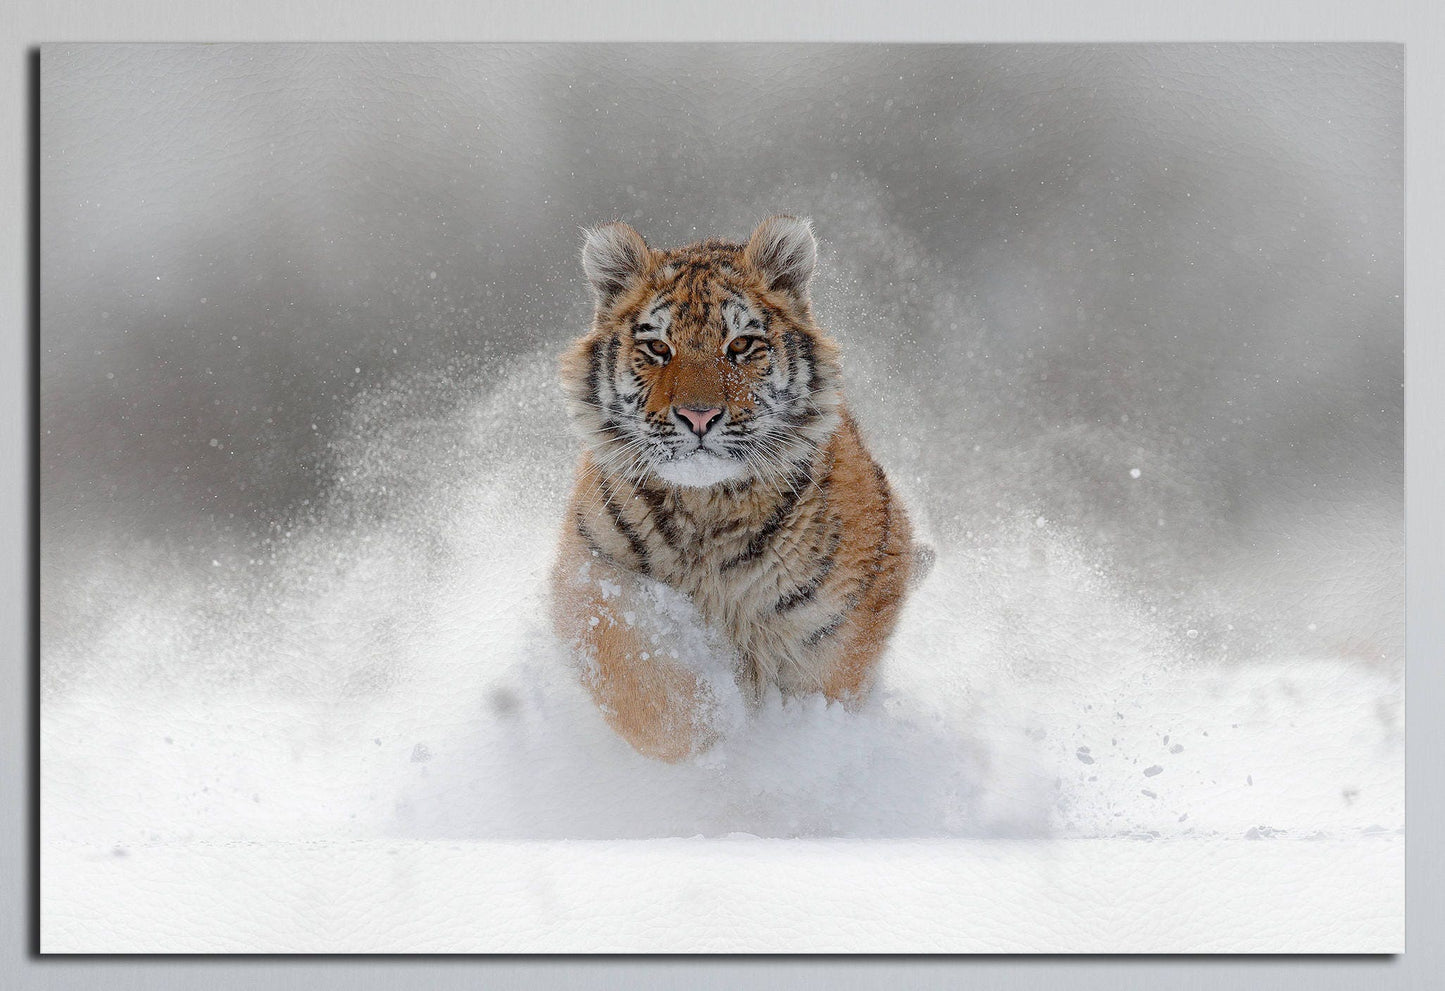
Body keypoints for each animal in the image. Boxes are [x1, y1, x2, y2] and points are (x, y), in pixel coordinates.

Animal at [550, 215, 927, 762]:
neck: (708, 508)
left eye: (741, 345)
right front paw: (711, 734)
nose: (698, 416)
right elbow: (641, 682)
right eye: (658, 348)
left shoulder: (841, 621)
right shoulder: (590, 573)